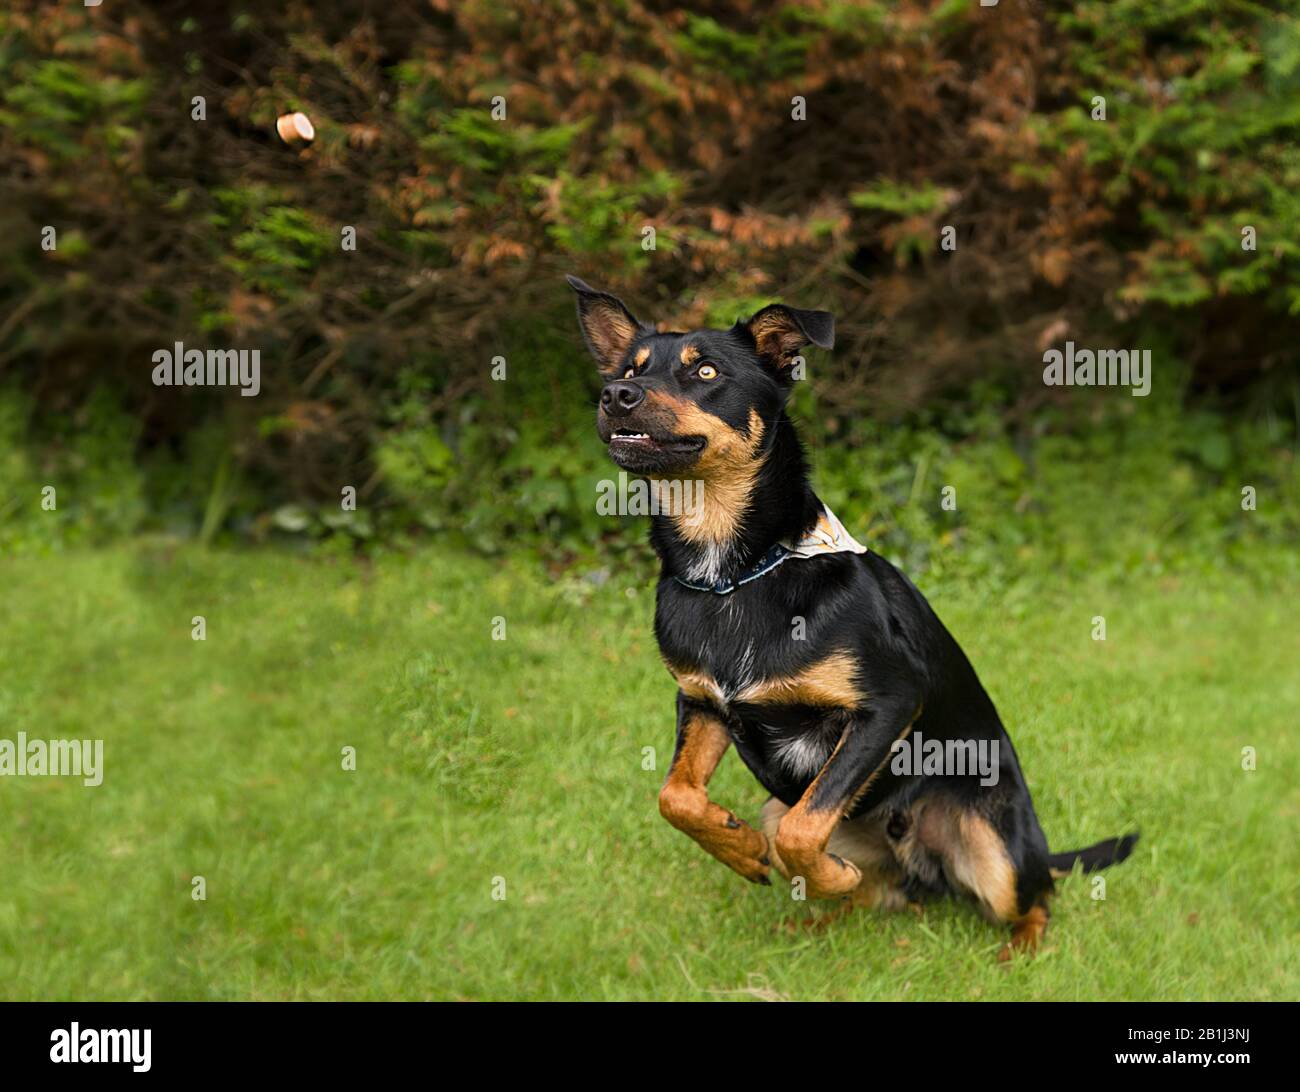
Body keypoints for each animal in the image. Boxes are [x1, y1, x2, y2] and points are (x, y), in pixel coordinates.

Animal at [569, 276, 1138, 961]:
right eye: (630, 370)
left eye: (704, 372)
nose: (614, 395)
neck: (734, 572)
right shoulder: (703, 703)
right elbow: (678, 797)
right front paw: (741, 848)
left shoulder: (888, 704)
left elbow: (804, 824)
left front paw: (811, 868)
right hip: (803, 817)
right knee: (871, 892)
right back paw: (816, 915)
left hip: (994, 847)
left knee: (1036, 897)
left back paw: (1018, 950)